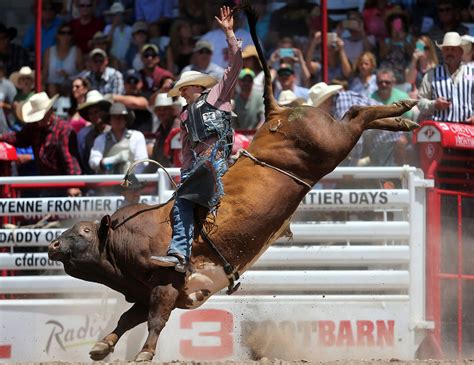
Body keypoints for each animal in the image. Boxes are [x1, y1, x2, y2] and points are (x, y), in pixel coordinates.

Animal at [48, 2, 418, 362]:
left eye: (83, 231)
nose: (53, 245)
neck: (123, 240)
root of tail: (276, 113)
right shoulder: (146, 292)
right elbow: (127, 319)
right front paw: (102, 346)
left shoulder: (167, 283)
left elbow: (155, 320)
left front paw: (144, 353)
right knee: (356, 118)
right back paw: (402, 119)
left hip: (331, 142)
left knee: (356, 117)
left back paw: (404, 108)